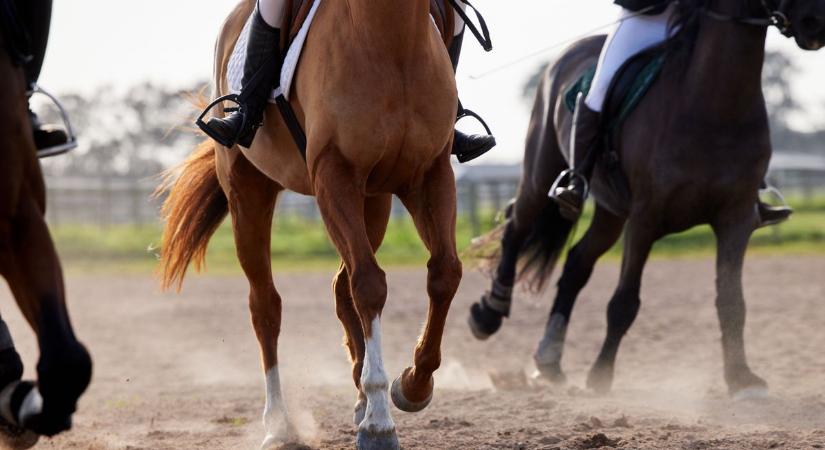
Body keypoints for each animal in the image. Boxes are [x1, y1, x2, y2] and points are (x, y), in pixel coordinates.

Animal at [466, 0, 824, 400]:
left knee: (576, 263)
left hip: (610, 211)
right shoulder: (645, 218)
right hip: (541, 171)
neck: (715, 104)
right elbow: (624, 302)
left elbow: (732, 300)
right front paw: (600, 375)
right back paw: (488, 314)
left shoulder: (736, 219)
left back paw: (549, 360)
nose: (815, 24)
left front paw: (741, 378)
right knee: (517, 228)